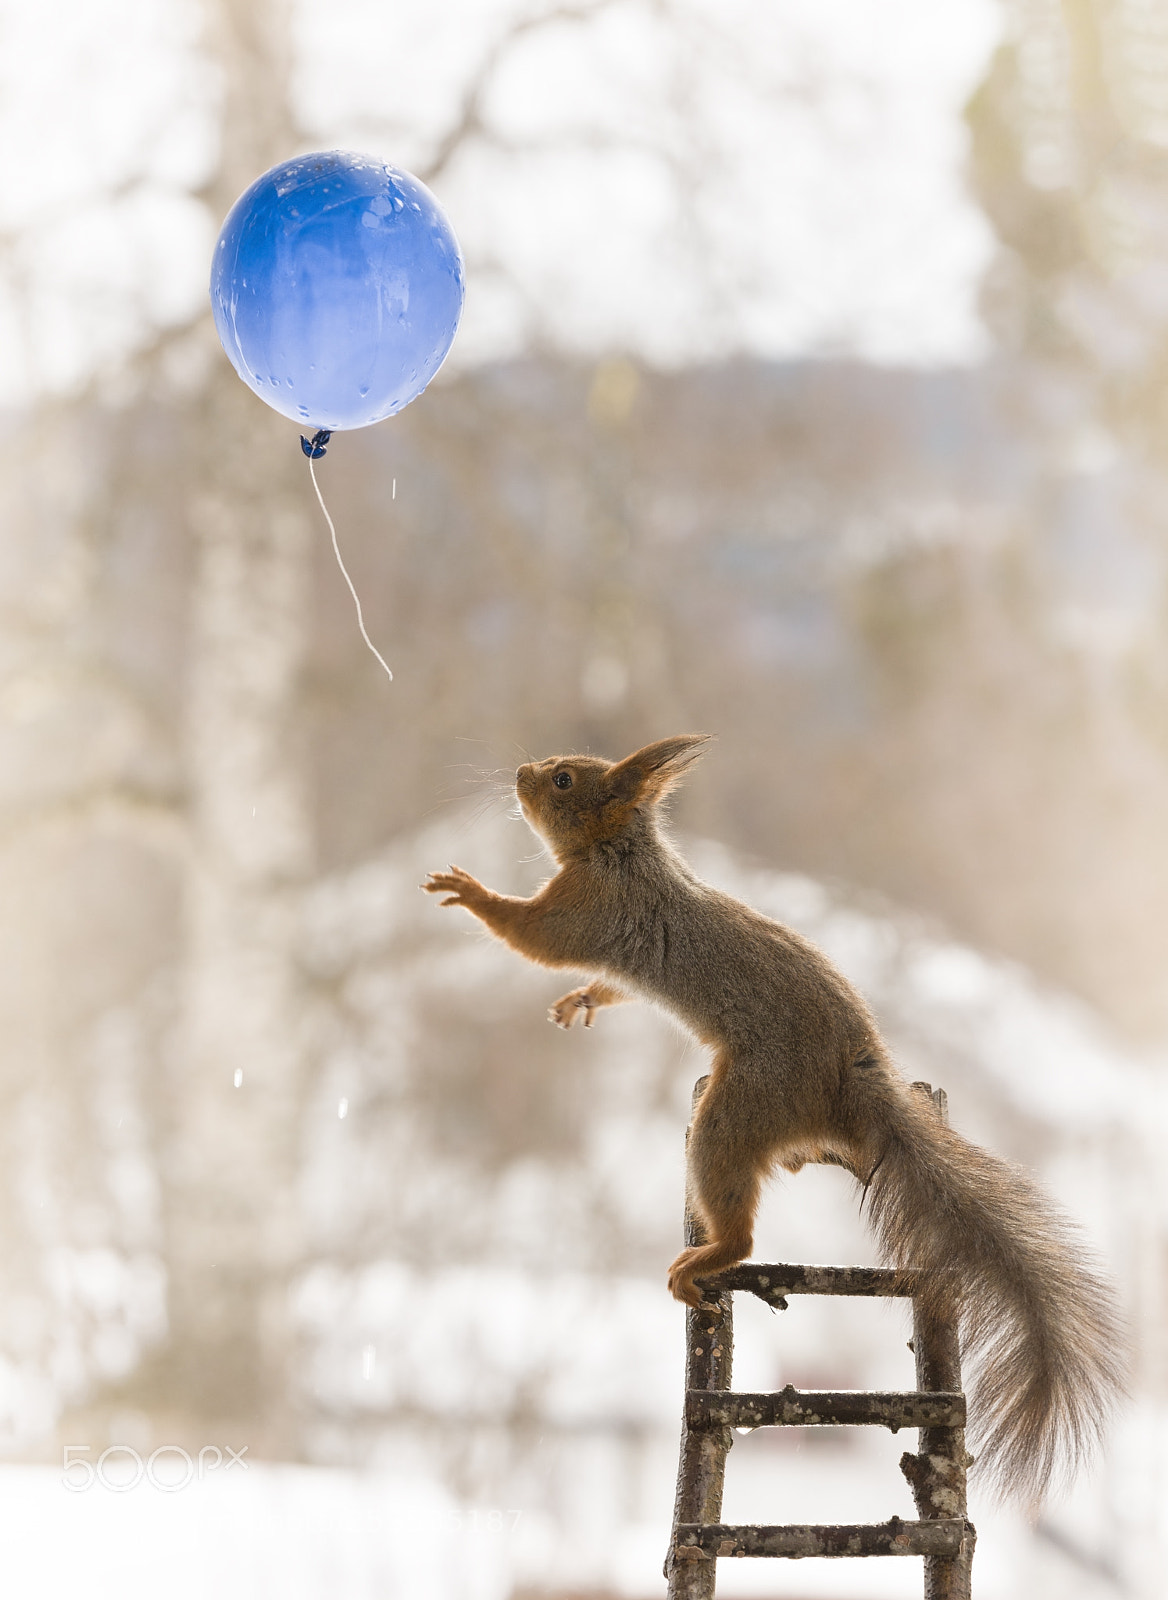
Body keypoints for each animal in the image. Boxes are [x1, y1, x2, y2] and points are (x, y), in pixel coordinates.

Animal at [424, 734, 1125, 1501]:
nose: (521, 772)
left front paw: (467, 890)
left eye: (563, 780)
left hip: (740, 1106)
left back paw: (712, 1255)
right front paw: (580, 999)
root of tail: (853, 1079)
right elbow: (609, 985)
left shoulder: (590, 908)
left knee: (741, 1224)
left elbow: (533, 936)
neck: (621, 854)